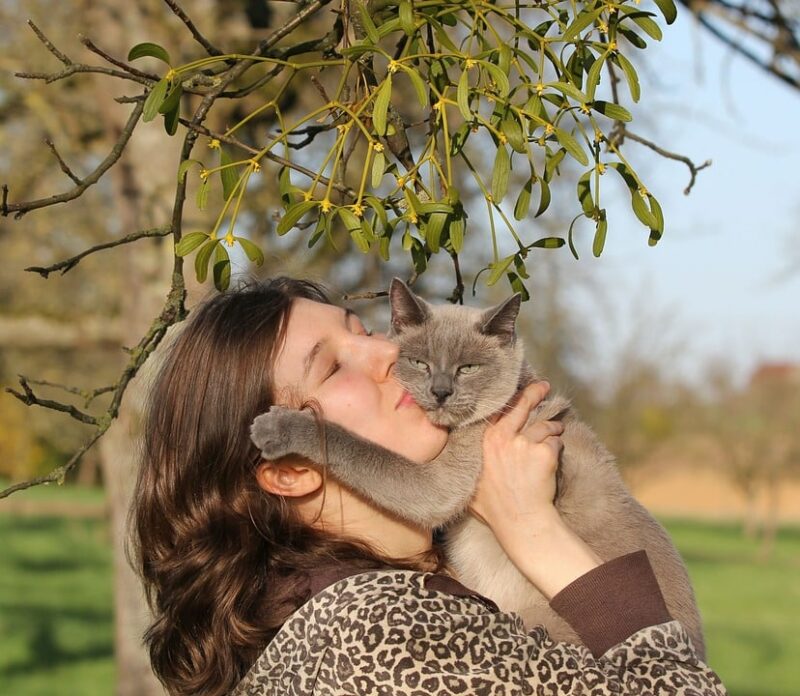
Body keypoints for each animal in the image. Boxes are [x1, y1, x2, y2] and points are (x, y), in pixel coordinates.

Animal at [252, 278, 708, 656]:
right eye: (420, 363)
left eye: (467, 368)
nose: (440, 392)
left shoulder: (439, 482)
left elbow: (352, 444)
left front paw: (273, 426)